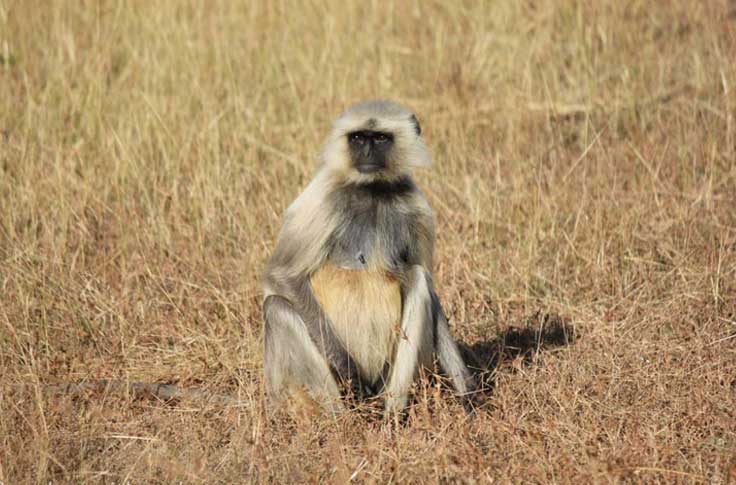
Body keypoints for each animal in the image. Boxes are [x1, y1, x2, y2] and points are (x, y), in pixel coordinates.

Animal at [262, 99, 474, 416]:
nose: (367, 153)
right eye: (359, 138)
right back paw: (341, 419)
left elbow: (430, 290)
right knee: (276, 306)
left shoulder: (417, 206)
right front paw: (350, 371)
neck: (372, 188)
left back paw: (392, 414)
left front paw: (468, 391)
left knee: (417, 278)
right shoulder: (324, 194)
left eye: (381, 138)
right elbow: (282, 275)